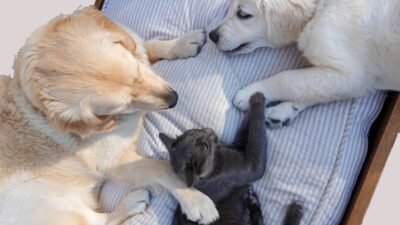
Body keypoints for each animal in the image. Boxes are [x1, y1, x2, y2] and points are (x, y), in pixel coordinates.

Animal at [0, 7, 219, 225]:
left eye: (137, 71)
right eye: (125, 104)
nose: (173, 99)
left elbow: (145, 44)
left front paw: (183, 43)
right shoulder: (115, 162)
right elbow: (161, 167)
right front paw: (196, 200)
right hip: (48, 201)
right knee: (98, 220)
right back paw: (131, 203)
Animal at [159, 93, 304, 225]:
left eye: (196, 131)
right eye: (205, 147)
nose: (209, 130)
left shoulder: (239, 145)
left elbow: (247, 130)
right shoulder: (252, 165)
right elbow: (257, 134)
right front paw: (258, 99)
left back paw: (253, 202)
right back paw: (295, 210)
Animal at [208, 0, 400, 126]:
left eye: (243, 14)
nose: (212, 35)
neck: (321, 7)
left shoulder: (352, 76)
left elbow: (289, 79)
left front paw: (251, 93)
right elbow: (310, 86)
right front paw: (284, 110)